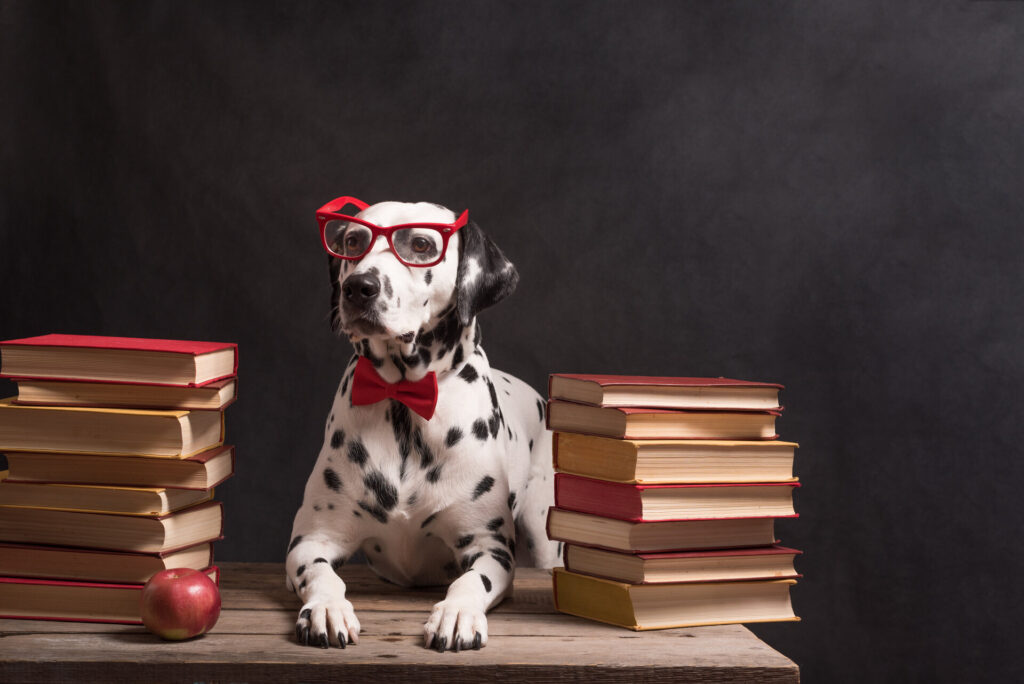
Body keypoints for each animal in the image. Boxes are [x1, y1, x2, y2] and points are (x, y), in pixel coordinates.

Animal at [286, 196, 561, 651]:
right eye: (353, 240)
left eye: (420, 244)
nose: (359, 287)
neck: (404, 400)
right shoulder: (311, 541)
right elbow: (323, 575)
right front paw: (327, 608)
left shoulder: (491, 549)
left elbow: (470, 582)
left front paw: (457, 613)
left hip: (542, 535)